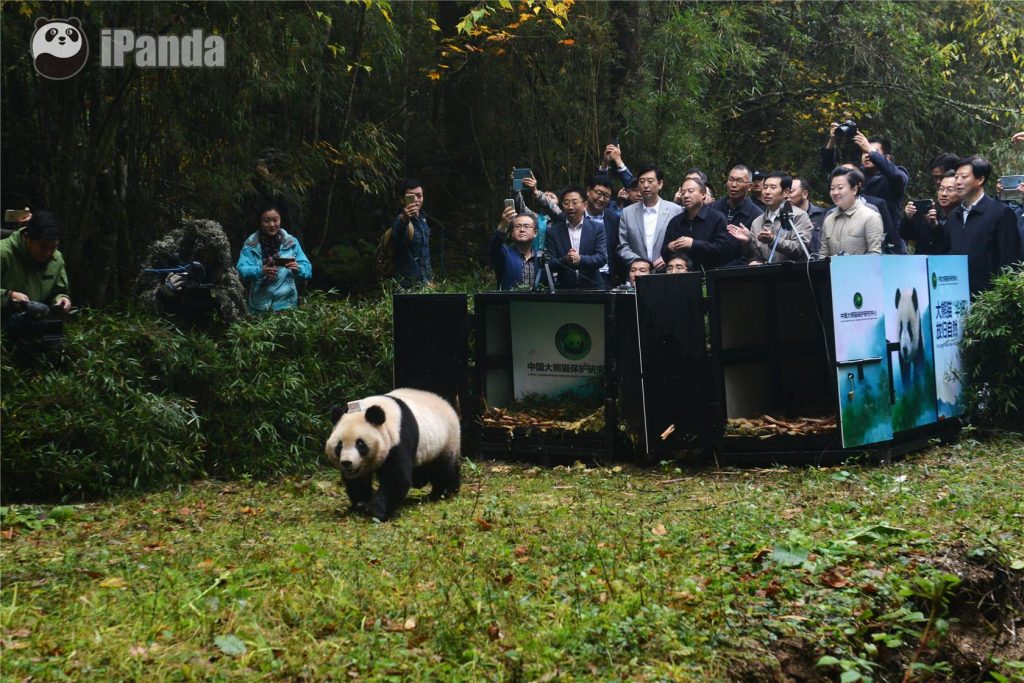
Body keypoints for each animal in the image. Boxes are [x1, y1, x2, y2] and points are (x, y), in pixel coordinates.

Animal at [323, 389, 460, 524]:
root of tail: (446, 403)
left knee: (444, 469)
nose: (347, 462)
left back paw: (444, 493)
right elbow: (358, 481)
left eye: (360, 444)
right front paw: (360, 505)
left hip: (447, 439)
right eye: (339, 446)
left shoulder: (398, 439)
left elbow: (396, 478)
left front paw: (375, 512)